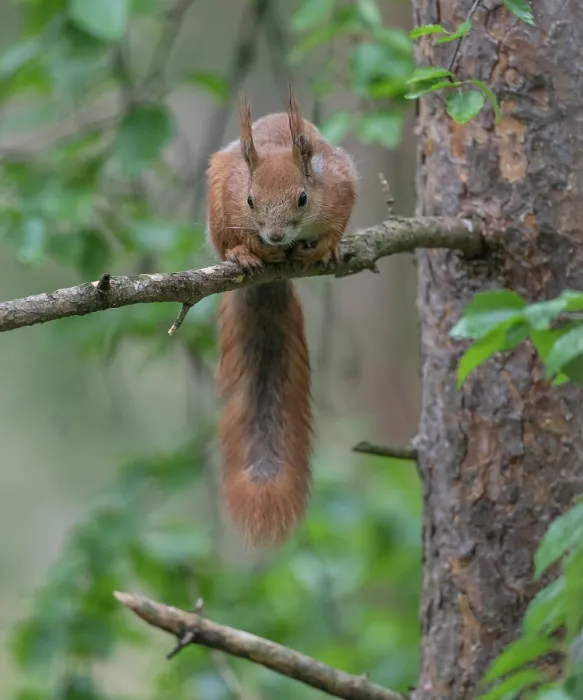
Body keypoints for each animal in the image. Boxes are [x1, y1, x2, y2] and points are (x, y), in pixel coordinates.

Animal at [206, 88, 358, 548]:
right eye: (250, 199)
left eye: (303, 198)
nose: (274, 235)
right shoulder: (228, 197)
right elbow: (234, 236)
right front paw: (250, 249)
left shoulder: (343, 183)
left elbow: (337, 223)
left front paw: (327, 244)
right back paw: (247, 256)